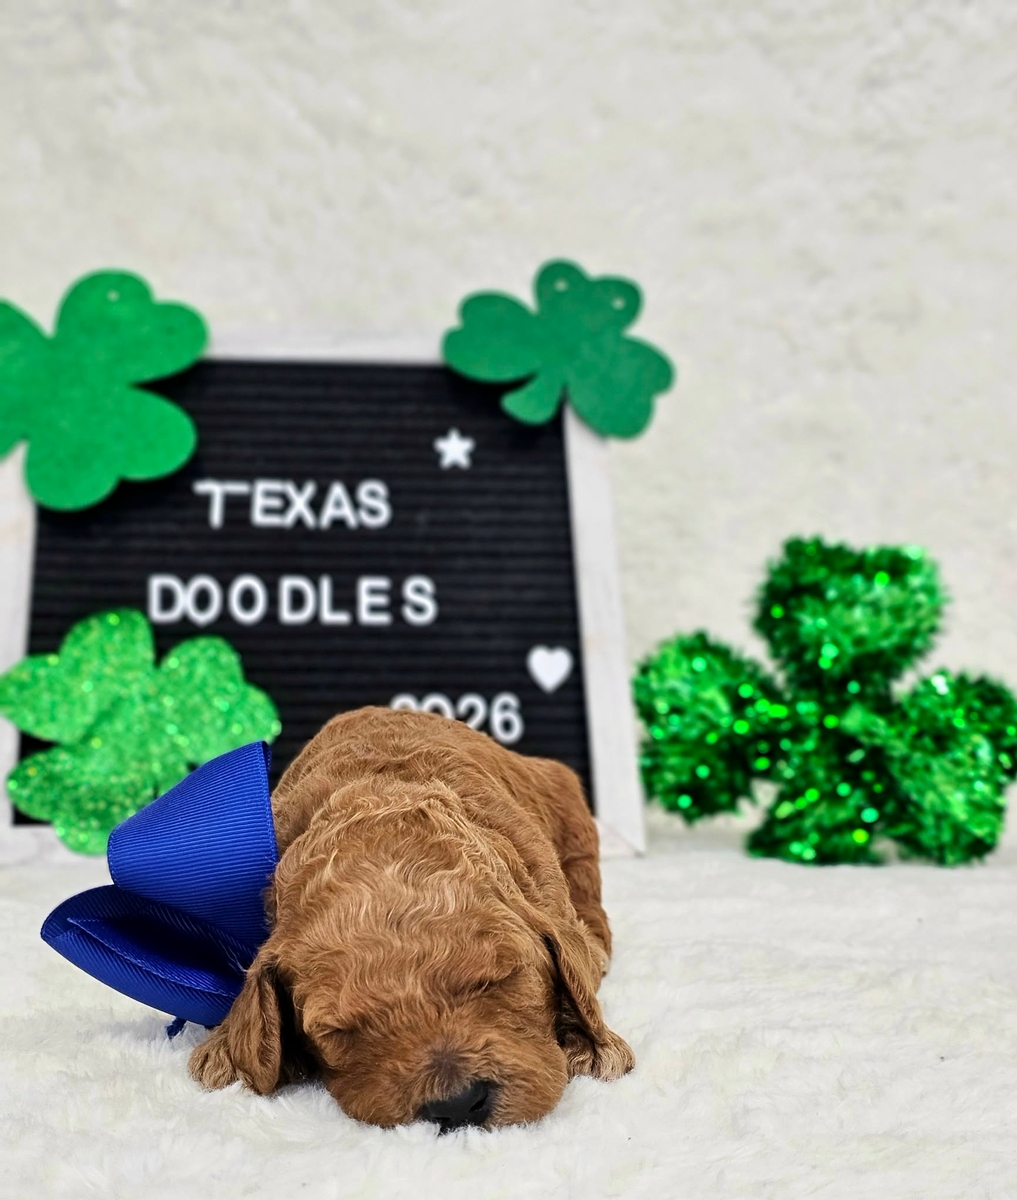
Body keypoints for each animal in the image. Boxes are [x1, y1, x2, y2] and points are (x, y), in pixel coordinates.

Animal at [188, 706, 633, 1129]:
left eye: (500, 979)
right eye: (337, 1031)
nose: (457, 1104)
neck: (380, 812)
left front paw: (591, 1044)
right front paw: (227, 1048)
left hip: (570, 812)